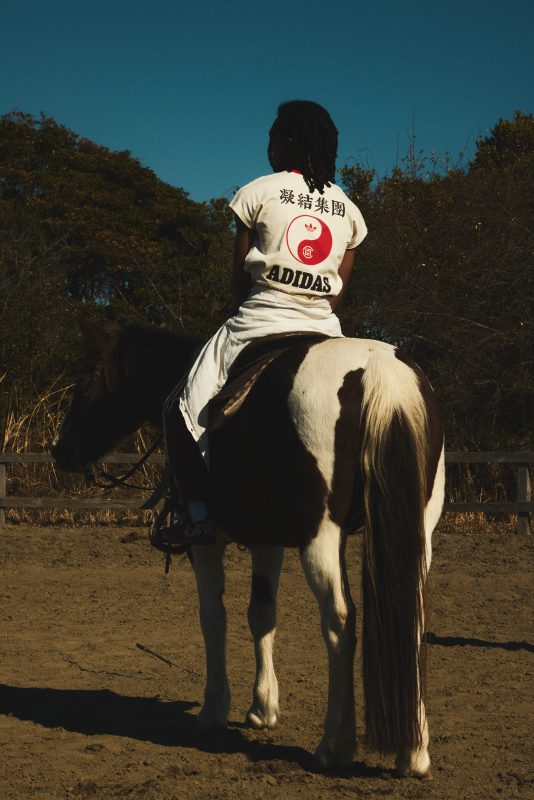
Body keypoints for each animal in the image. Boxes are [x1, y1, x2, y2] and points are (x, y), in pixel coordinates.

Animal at [52, 317, 445, 778]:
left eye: (84, 382)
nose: (60, 450)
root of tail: (379, 373)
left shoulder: (205, 545)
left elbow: (213, 617)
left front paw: (213, 711)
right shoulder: (267, 541)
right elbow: (262, 614)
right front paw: (262, 708)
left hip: (321, 537)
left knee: (339, 621)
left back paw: (335, 745)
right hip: (417, 530)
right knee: (411, 615)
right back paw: (413, 752)